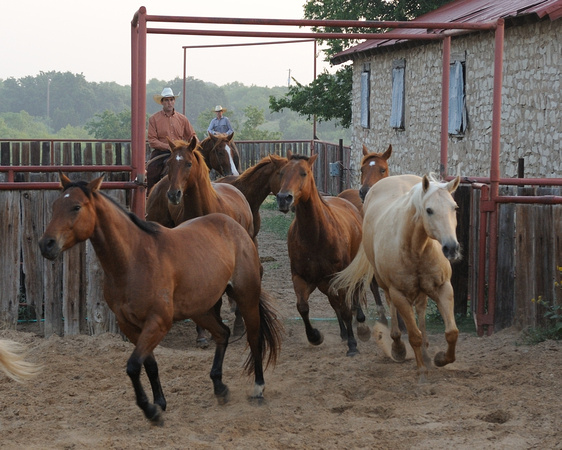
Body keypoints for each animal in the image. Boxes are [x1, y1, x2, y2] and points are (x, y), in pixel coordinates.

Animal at [40, 174, 282, 424]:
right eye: (55, 206)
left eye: (76, 207)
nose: (46, 244)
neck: (134, 259)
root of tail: (236, 227)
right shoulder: (130, 325)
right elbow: (150, 365)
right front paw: (160, 402)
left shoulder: (158, 322)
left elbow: (133, 366)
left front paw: (150, 409)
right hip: (201, 310)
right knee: (222, 333)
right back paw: (220, 387)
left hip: (246, 298)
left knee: (254, 338)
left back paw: (258, 389)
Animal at [272, 151, 364, 356]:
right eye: (281, 173)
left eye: (304, 173)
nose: (284, 198)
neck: (316, 236)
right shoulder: (301, 277)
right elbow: (303, 307)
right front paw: (314, 336)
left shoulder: (340, 276)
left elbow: (346, 308)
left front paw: (353, 345)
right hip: (323, 282)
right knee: (334, 301)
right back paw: (343, 332)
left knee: (354, 293)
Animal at [330, 174, 458, 382]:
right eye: (429, 210)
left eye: (454, 208)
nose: (451, 247)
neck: (416, 248)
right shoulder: (399, 294)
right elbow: (413, 335)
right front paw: (421, 370)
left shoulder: (443, 288)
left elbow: (452, 332)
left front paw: (440, 359)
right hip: (386, 284)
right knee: (391, 306)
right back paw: (398, 346)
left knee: (421, 310)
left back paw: (426, 351)